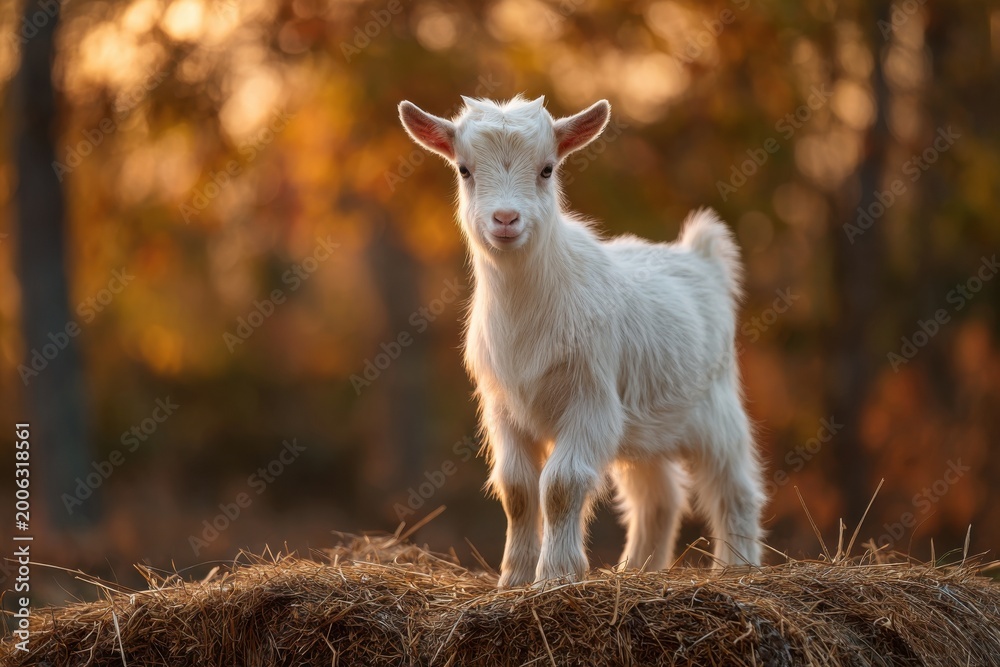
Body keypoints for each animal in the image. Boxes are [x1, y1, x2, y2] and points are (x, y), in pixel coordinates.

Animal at [398, 95, 765, 588]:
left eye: (547, 169)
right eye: (464, 169)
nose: (506, 219)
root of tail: (699, 258)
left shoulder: (590, 401)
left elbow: (561, 484)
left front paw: (555, 575)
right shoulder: (504, 408)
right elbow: (516, 488)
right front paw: (514, 579)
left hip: (715, 408)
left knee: (734, 488)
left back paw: (736, 568)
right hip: (642, 423)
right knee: (658, 496)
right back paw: (638, 569)